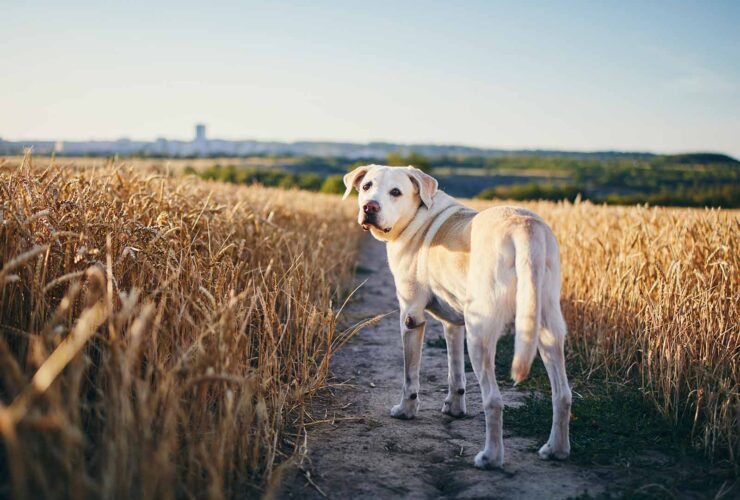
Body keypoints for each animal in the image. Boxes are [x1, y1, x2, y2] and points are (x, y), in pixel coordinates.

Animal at [342, 165, 572, 468]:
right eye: (367, 186)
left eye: (396, 192)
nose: (369, 207)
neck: (417, 217)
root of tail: (524, 227)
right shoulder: (453, 324)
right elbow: (455, 372)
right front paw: (454, 408)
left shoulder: (411, 317)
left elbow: (410, 376)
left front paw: (406, 410)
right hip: (546, 327)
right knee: (563, 394)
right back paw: (556, 449)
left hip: (479, 334)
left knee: (494, 400)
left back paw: (490, 458)